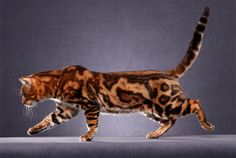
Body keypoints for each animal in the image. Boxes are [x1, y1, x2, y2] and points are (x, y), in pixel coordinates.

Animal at [18, 6, 214, 142]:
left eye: (24, 94)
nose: (23, 102)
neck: (59, 80)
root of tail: (168, 73)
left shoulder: (90, 104)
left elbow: (92, 123)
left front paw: (88, 137)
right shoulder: (66, 109)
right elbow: (48, 120)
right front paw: (33, 129)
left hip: (167, 104)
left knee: (194, 103)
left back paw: (207, 125)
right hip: (152, 109)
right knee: (170, 121)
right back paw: (154, 134)